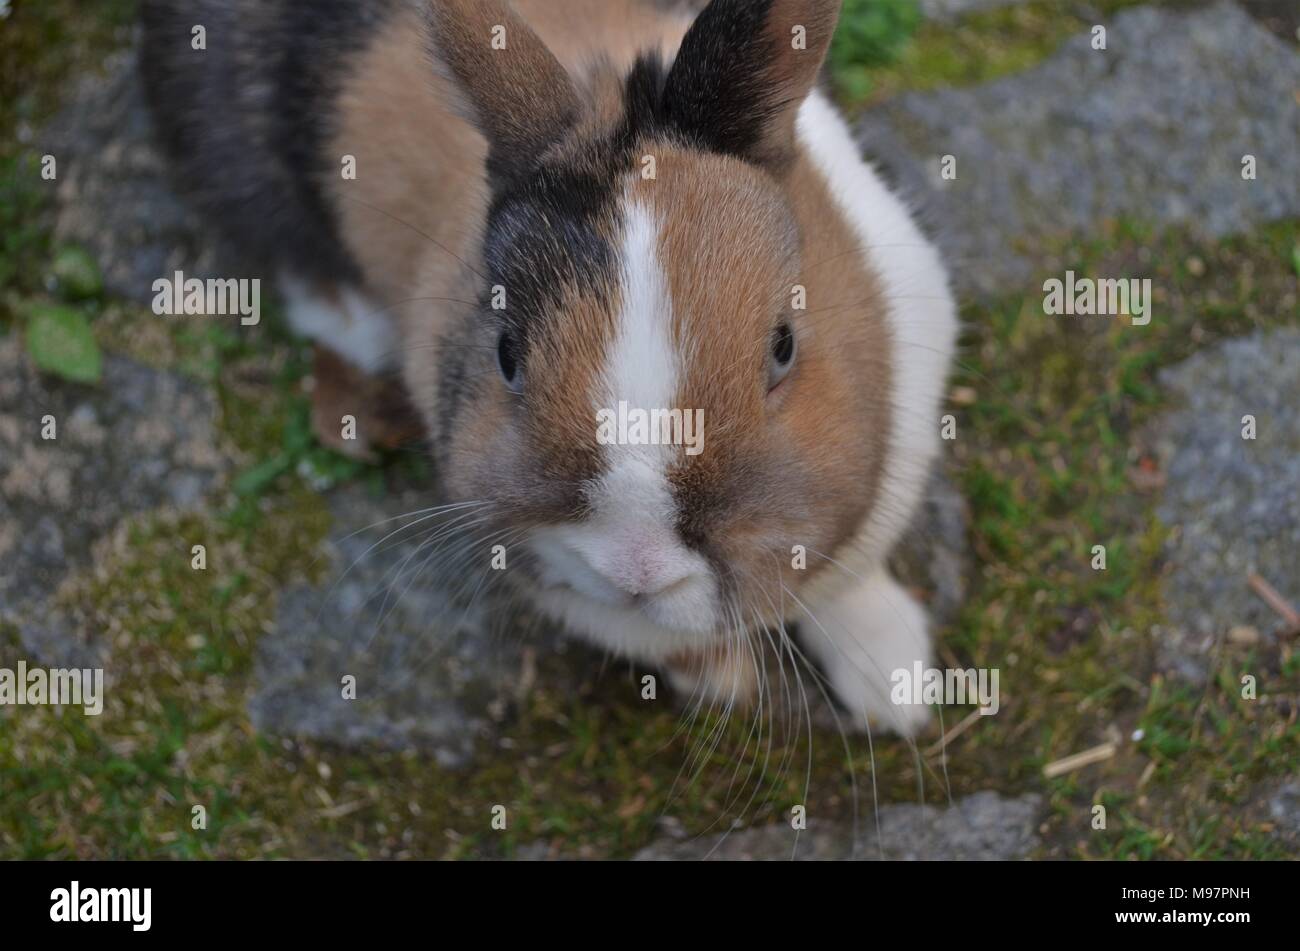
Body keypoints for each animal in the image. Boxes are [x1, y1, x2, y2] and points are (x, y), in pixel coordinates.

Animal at [142, 0, 956, 737]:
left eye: (783, 345)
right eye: (506, 354)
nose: (637, 569)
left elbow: (851, 586)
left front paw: (899, 687)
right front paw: (726, 680)